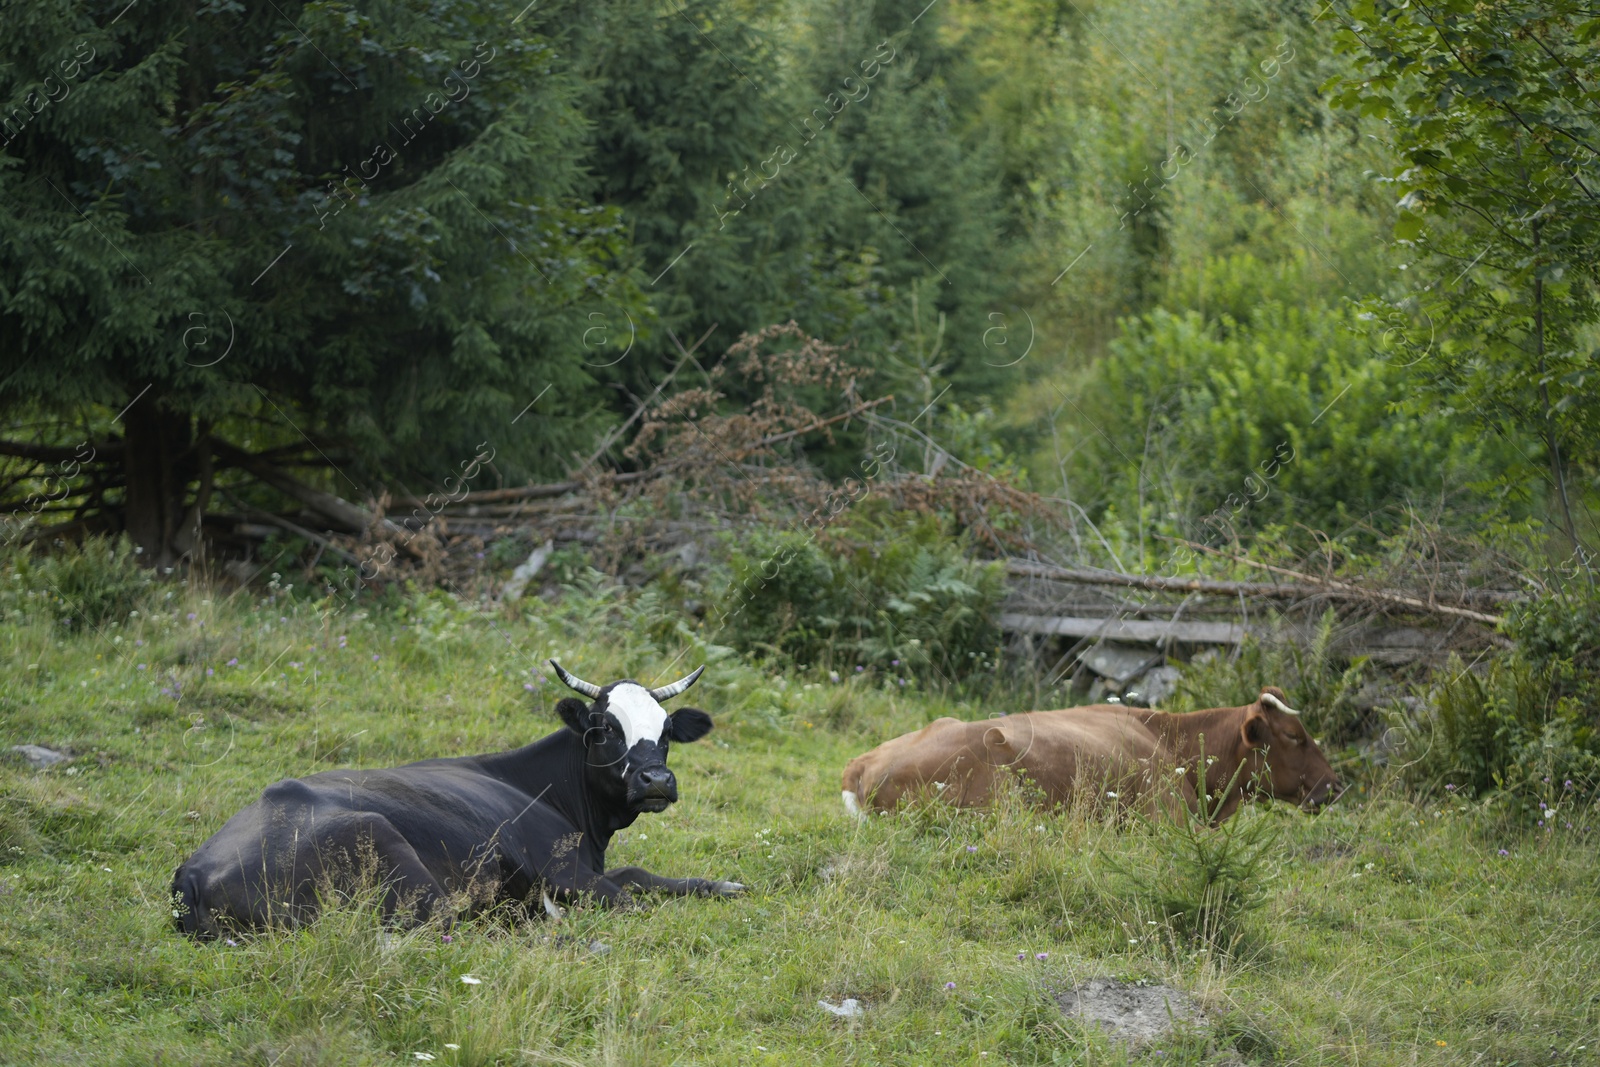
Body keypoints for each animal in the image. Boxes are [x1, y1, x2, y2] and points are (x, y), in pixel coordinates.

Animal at [172, 659, 745, 934]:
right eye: (604, 728)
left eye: (667, 732)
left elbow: (639, 874)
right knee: (447, 921)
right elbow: (628, 898)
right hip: (385, 848)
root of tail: (193, 874)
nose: (656, 781)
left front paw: (722, 884)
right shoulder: (565, 871)